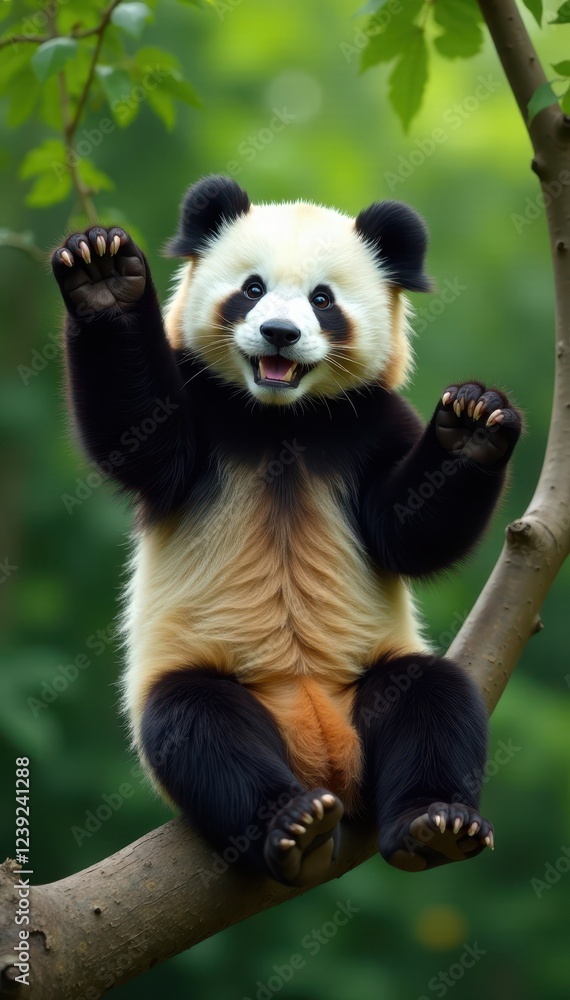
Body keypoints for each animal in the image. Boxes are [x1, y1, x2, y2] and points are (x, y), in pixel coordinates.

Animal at [52, 175, 521, 886]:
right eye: (251, 288)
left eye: (323, 300)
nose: (278, 332)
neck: (280, 419)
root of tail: (322, 757)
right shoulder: (204, 412)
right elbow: (142, 442)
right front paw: (103, 275)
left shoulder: (368, 422)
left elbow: (405, 532)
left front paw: (473, 421)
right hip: (215, 679)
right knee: (199, 729)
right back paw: (292, 824)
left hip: (369, 677)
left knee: (431, 698)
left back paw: (436, 822)